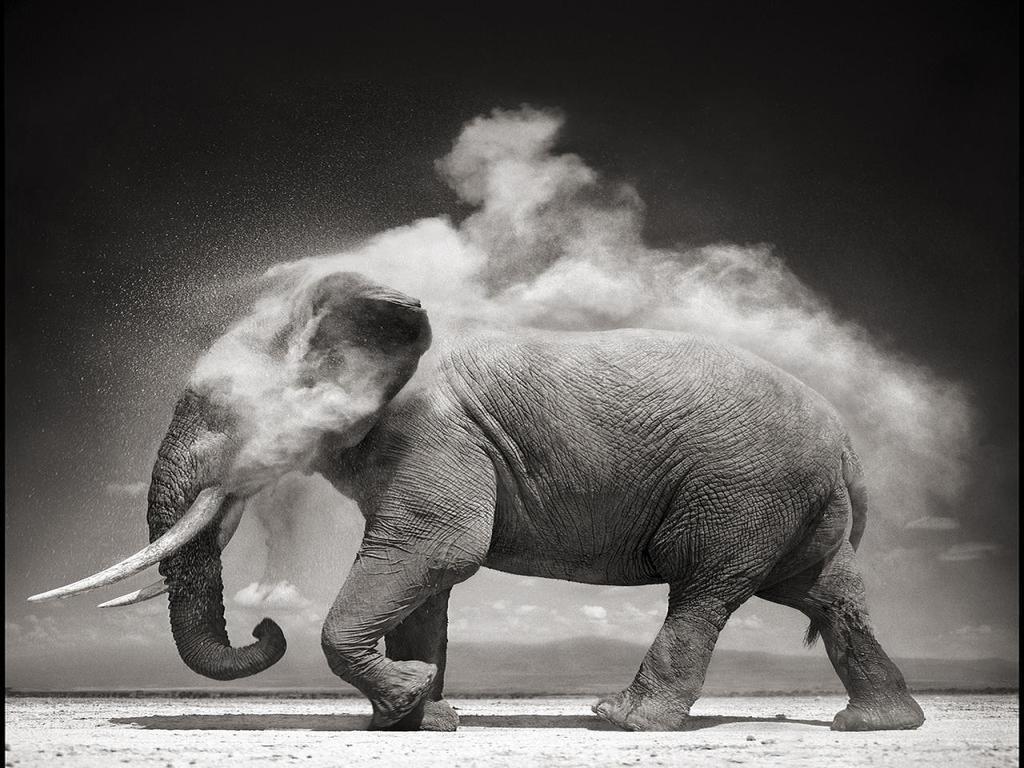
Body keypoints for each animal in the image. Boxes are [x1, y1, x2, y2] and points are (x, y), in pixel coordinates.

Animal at [30, 271, 925, 733]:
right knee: (826, 594)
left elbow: (435, 550)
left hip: (742, 487)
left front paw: (407, 698)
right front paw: (418, 716)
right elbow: (426, 580)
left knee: (705, 589)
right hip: (792, 500)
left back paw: (620, 721)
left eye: (220, 413)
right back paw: (878, 726)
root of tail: (847, 441)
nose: (264, 628)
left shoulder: (436, 434)